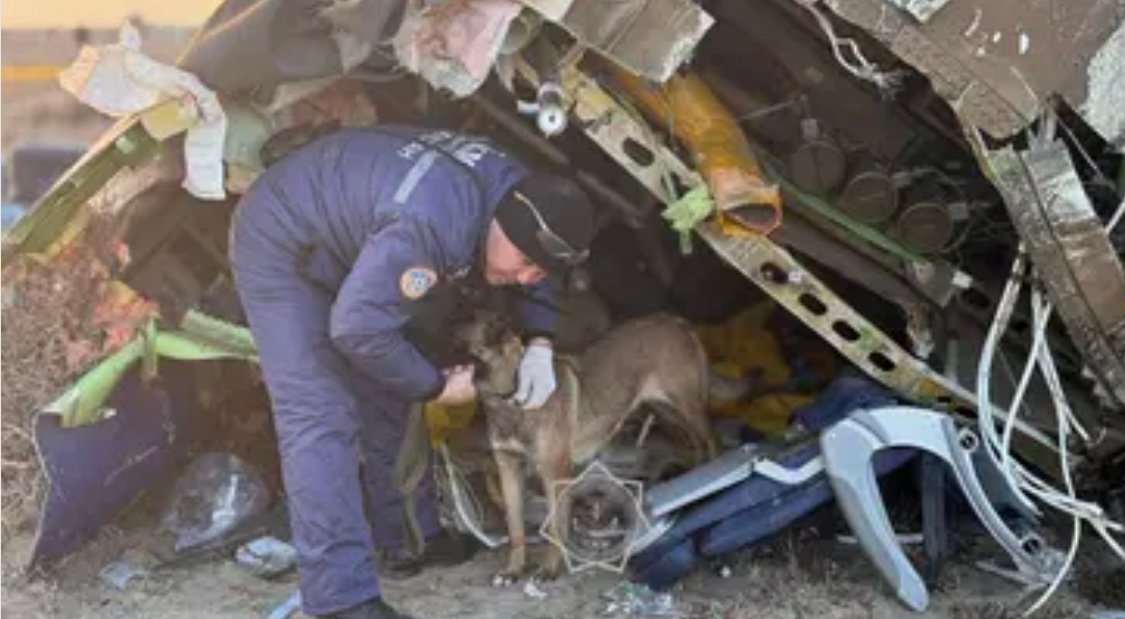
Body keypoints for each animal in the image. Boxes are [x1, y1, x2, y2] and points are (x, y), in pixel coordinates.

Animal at [457, 311, 718, 583]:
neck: (511, 397)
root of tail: (675, 320)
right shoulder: (508, 468)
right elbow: (515, 527)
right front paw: (514, 569)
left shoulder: (554, 472)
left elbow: (554, 526)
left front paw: (549, 569)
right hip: (667, 412)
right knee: (695, 443)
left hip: (687, 408)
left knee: (711, 439)